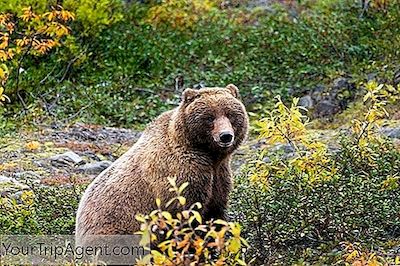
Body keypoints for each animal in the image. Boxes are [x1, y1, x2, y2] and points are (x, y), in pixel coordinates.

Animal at [75, 83, 248, 245]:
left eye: (230, 114)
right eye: (210, 117)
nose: (225, 136)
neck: (208, 154)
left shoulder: (219, 175)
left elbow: (215, 214)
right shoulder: (181, 175)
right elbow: (186, 215)